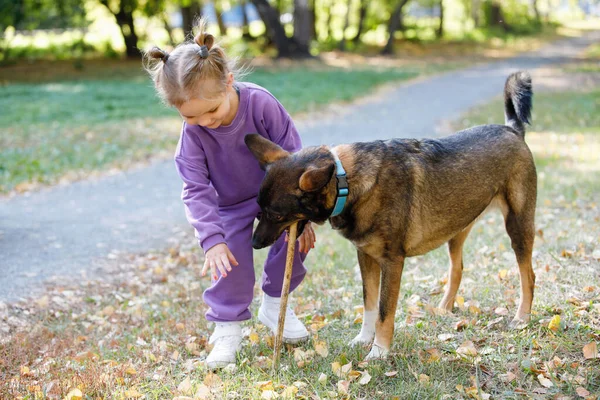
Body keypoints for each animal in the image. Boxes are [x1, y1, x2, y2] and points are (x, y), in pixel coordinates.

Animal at [246, 71, 536, 360]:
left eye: (276, 215)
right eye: (259, 210)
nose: (254, 244)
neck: (346, 180)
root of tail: (512, 129)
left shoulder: (392, 262)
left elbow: (384, 312)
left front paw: (379, 352)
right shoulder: (366, 257)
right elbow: (369, 305)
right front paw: (364, 339)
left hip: (518, 228)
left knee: (528, 276)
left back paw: (521, 318)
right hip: (456, 228)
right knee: (458, 269)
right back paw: (445, 307)